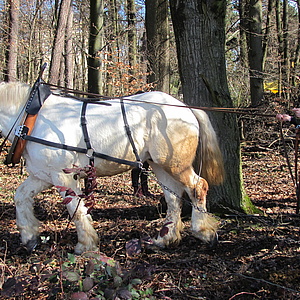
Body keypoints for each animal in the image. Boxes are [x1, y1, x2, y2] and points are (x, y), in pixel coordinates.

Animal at [0, 81, 224, 253]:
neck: (31, 118)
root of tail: (186, 108)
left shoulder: (63, 175)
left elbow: (76, 209)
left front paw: (86, 244)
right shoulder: (44, 175)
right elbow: (20, 196)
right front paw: (29, 237)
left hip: (176, 164)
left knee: (197, 187)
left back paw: (204, 232)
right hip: (159, 164)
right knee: (173, 198)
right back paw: (165, 239)